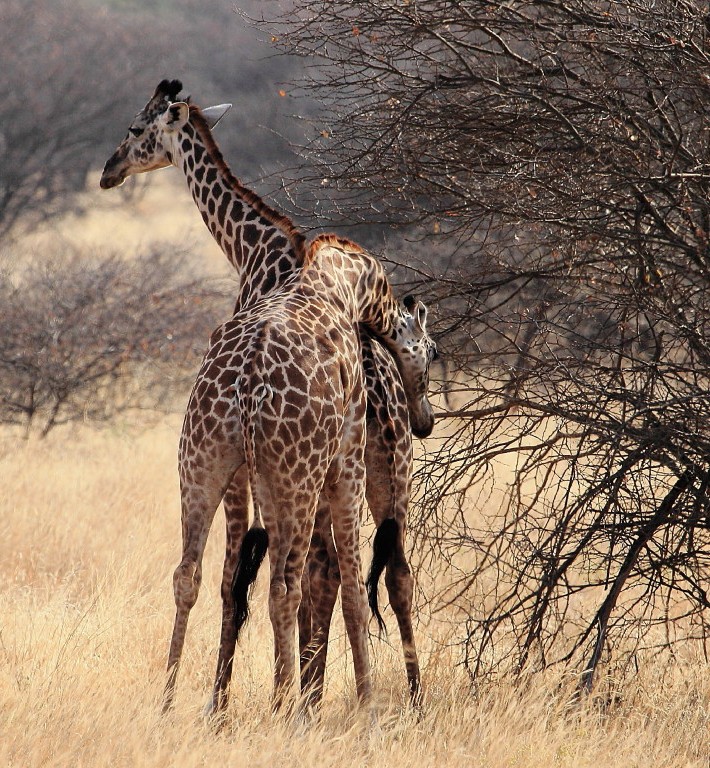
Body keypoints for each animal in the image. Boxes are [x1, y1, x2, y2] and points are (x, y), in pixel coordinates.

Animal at [100, 81, 434, 712]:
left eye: (134, 129)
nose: (109, 171)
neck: (257, 251)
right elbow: (280, 579)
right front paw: (285, 691)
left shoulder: (258, 474)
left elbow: (242, 581)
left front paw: (235, 698)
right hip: (370, 470)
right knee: (369, 573)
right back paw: (374, 697)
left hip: (317, 468)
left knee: (310, 575)